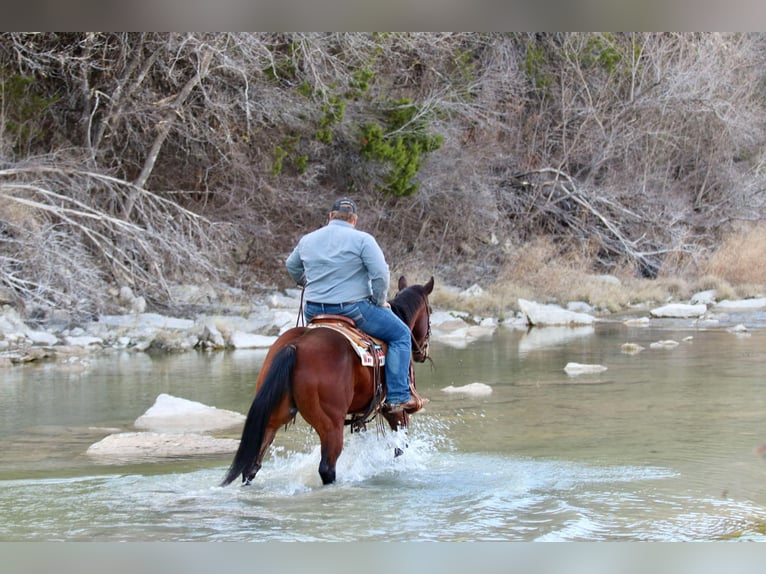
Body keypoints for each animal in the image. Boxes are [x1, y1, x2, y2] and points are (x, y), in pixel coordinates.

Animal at [220, 276, 434, 487]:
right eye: (430, 311)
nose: (422, 352)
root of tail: (295, 345)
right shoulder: (396, 411)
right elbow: (400, 447)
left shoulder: (359, 415)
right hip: (331, 424)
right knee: (327, 467)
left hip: (273, 417)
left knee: (252, 466)